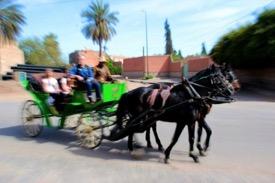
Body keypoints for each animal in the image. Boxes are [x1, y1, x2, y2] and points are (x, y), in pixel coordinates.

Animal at [106, 64, 238, 163]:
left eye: (226, 76)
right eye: (219, 78)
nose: (232, 90)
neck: (192, 95)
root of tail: (129, 93)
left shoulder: (193, 119)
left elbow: (196, 135)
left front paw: (199, 150)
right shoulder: (187, 121)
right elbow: (182, 138)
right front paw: (194, 153)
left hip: (145, 117)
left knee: (138, 128)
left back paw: (144, 144)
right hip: (138, 117)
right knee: (132, 128)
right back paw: (133, 147)